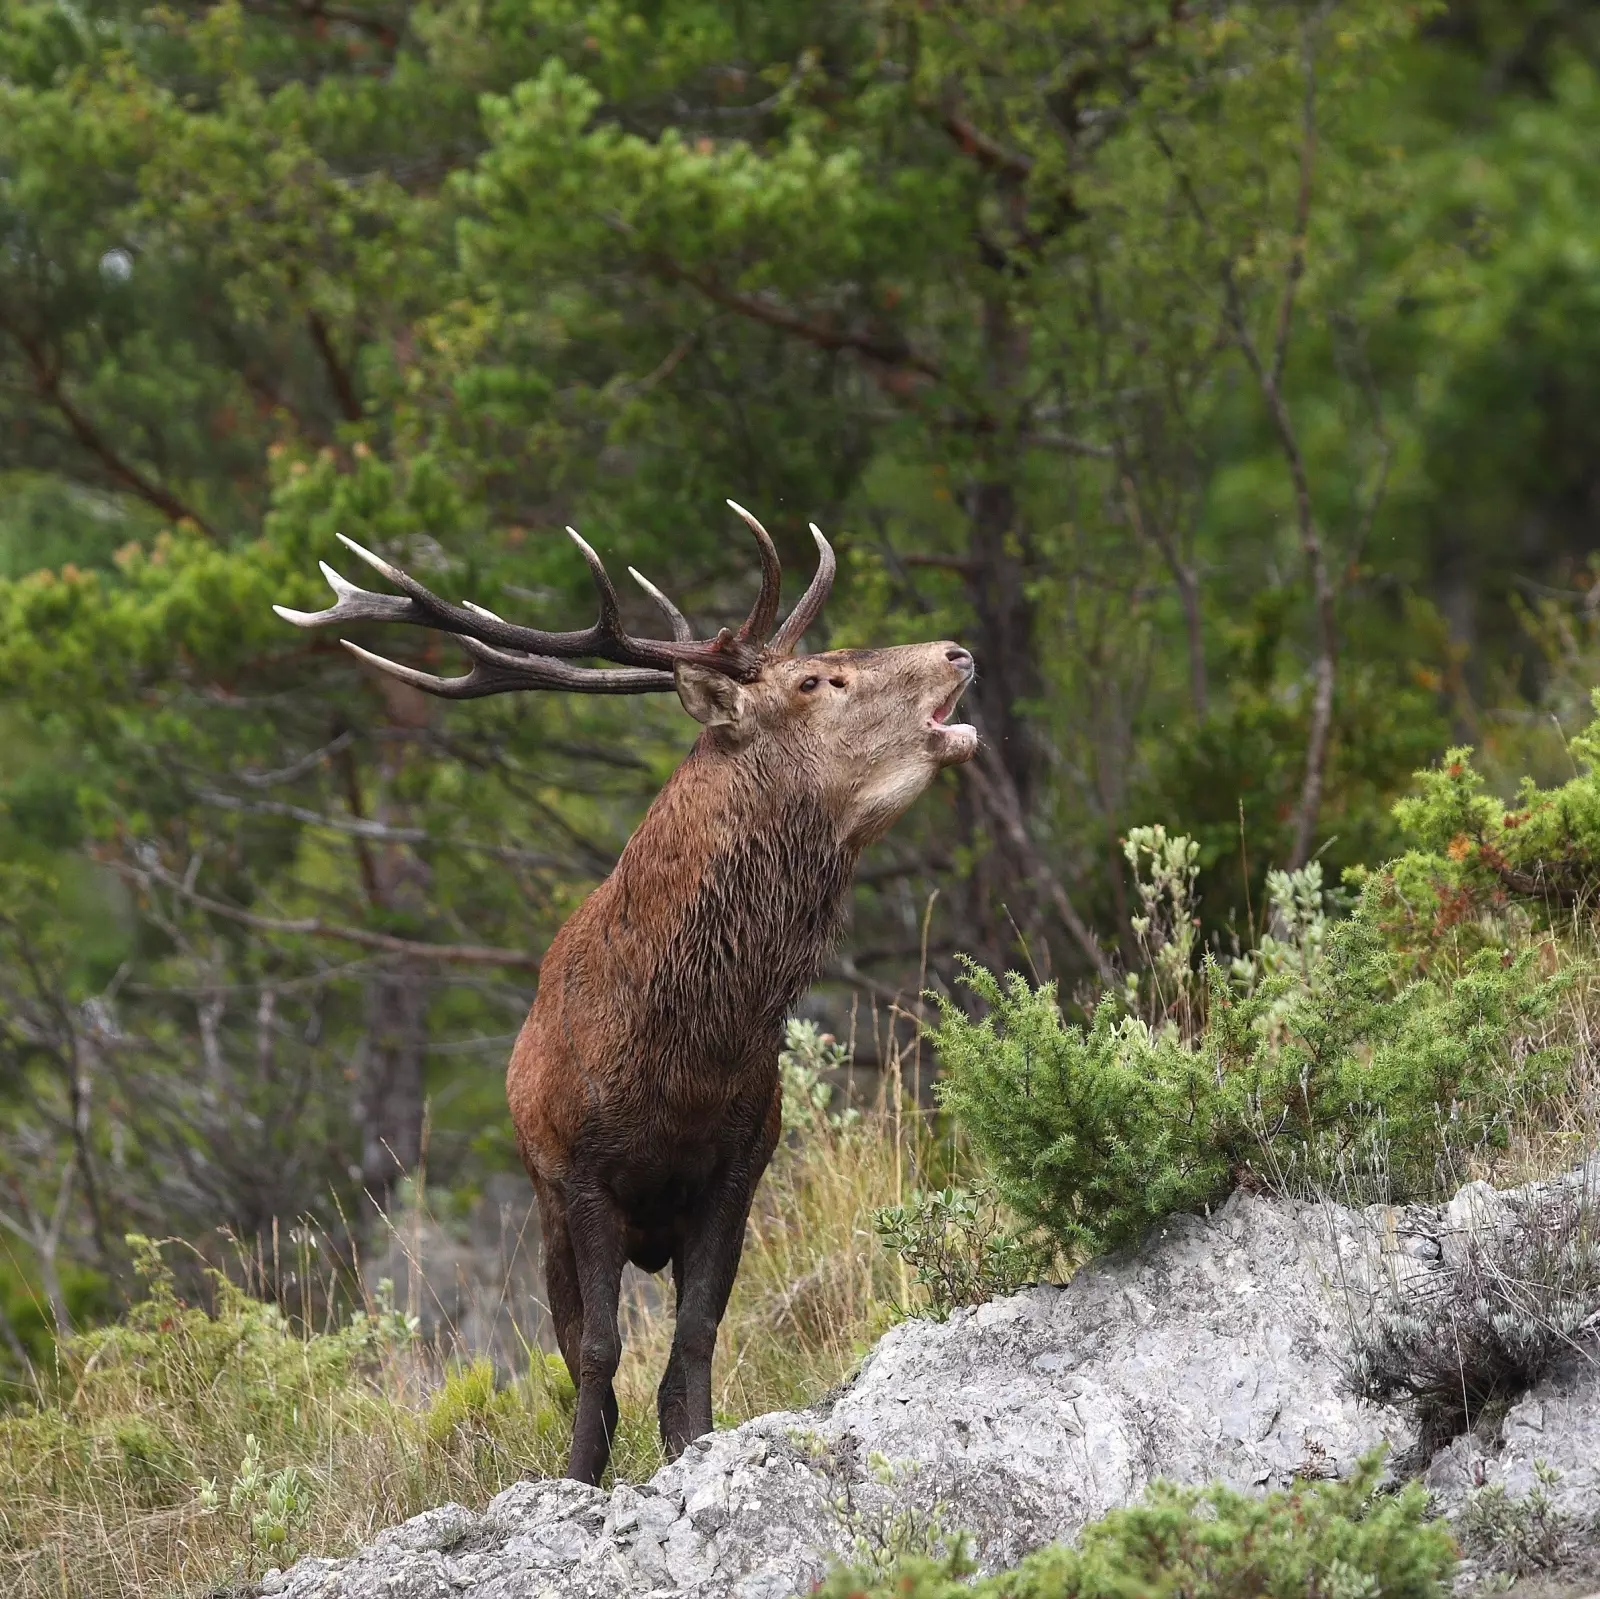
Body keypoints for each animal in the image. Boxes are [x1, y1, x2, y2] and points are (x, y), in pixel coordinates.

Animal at [274, 502, 977, 1484]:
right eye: (816, 678)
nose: (957, 651)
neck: (685, 1061)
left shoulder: (741, 1163)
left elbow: (696, 1335)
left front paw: (697, 1446)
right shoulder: (578, 1173)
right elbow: (599, 1351)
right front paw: (577, 1479)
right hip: (544, 1215)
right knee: (576, 1347)